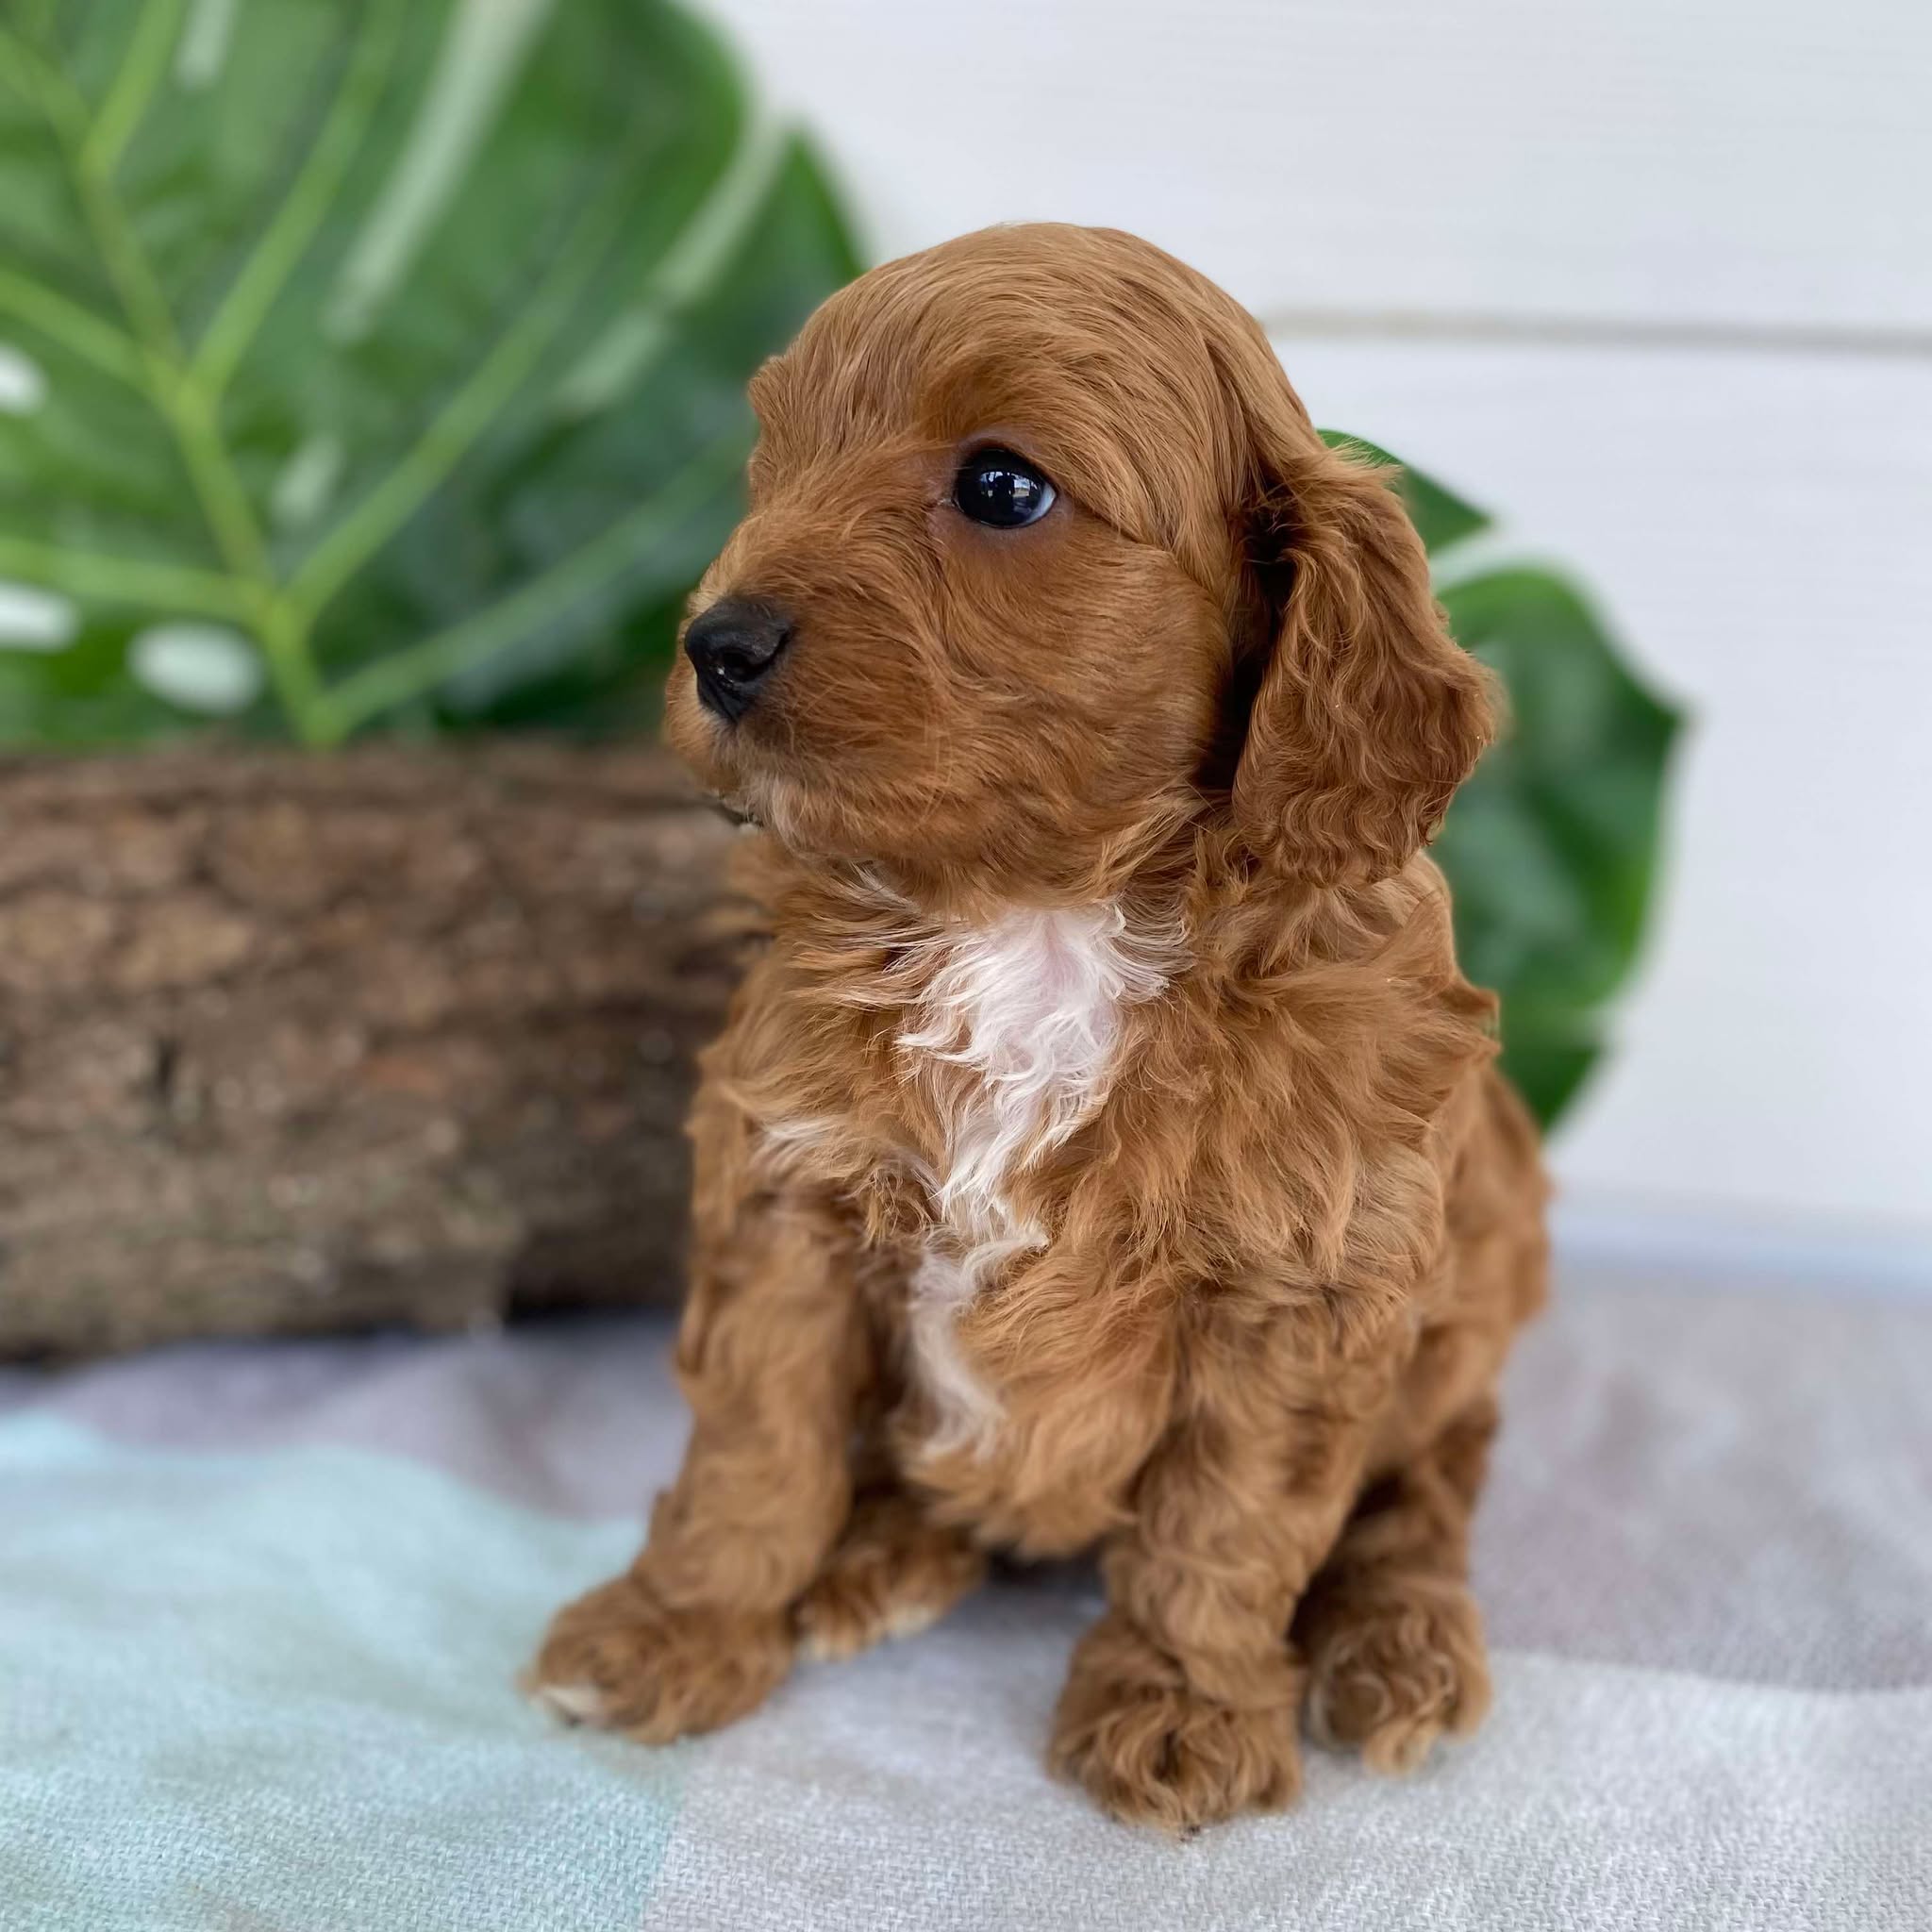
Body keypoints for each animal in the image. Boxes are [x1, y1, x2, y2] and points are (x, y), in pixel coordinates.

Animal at [533, 222, 1553, 1824]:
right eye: (774, 463)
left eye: (1004, 488)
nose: (713, 645)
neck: (1035, 921)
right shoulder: (789, 1196)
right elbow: (756, 1445)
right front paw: (681, 1625)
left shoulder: (1303, 1287)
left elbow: (1231, 1519)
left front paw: (1182, 1701)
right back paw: (880, 1552)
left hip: (1467, 1319)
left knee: (1422, 1495)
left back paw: (1401, 1641)